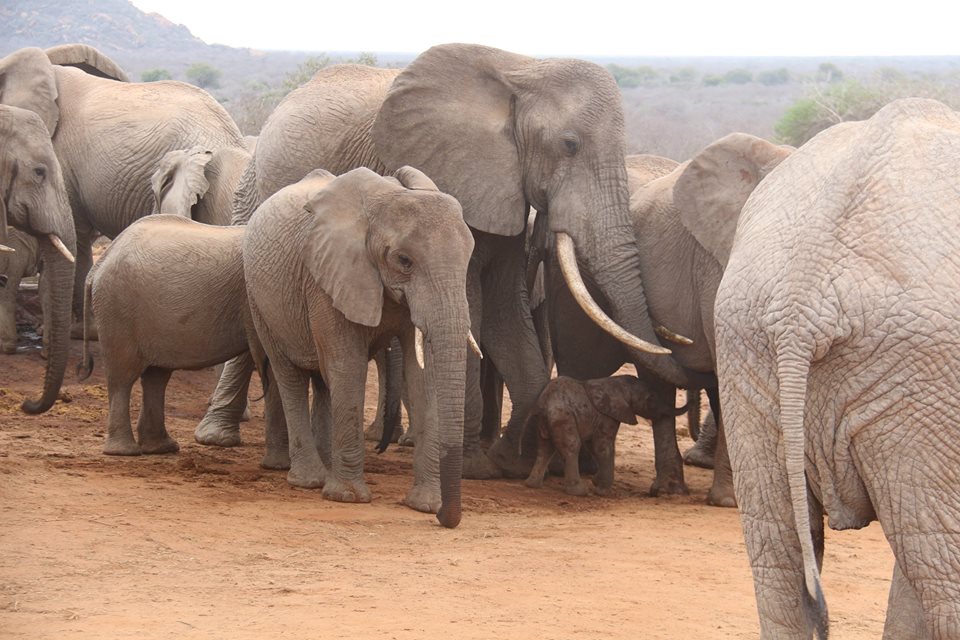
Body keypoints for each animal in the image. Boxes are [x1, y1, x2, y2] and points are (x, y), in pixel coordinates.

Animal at [243, 166, 476, 528]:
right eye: (404, 260)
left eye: (468, 258)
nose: (445, 518)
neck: (387, 201)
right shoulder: (327, 275)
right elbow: (348, 364)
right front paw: (348, 498)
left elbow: (422, 374)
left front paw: (424, 504)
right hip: (259, 299)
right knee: (290, 376)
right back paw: (310, 480)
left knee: (323, 381)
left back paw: (327, 465)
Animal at [524, 375, 688, 496]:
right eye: (651, 398)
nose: (686, 391)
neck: (618, 384)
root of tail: (542, 404)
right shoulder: (607, 415)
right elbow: (602, 446)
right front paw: (604, 492)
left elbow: (593, 445)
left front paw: (596, 482)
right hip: (563, 417)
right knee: (572, 446)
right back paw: (579, 492)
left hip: (547, 421)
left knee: (545, 448)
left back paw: (532, 485)